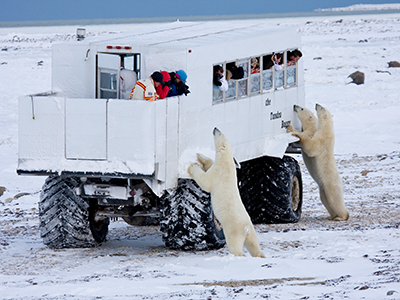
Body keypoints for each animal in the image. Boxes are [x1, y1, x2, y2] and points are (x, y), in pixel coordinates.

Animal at [188, 127, 266, 256]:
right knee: (253, 245)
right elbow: (209, 163)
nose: (215, 128)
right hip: (251, 231)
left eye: (220, 133)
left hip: (233, 229)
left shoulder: (218, 173)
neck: (227, 162)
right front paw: (200, 155)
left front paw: (193, 166)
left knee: (236, 246)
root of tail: (246, 228)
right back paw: (260, 256)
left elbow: (205, 182)